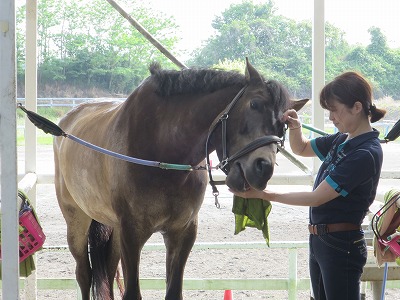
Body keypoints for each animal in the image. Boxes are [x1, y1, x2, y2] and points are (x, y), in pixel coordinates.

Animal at [53, 56, 308, 300]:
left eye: (285, 124)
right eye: (254, 104)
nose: (263, 168)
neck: (164, 151)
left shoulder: (182, 233)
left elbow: (174, 291)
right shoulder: (131, 234)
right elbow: (132, 292)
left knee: (107, 270)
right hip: (77, 221)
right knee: (84, 274)